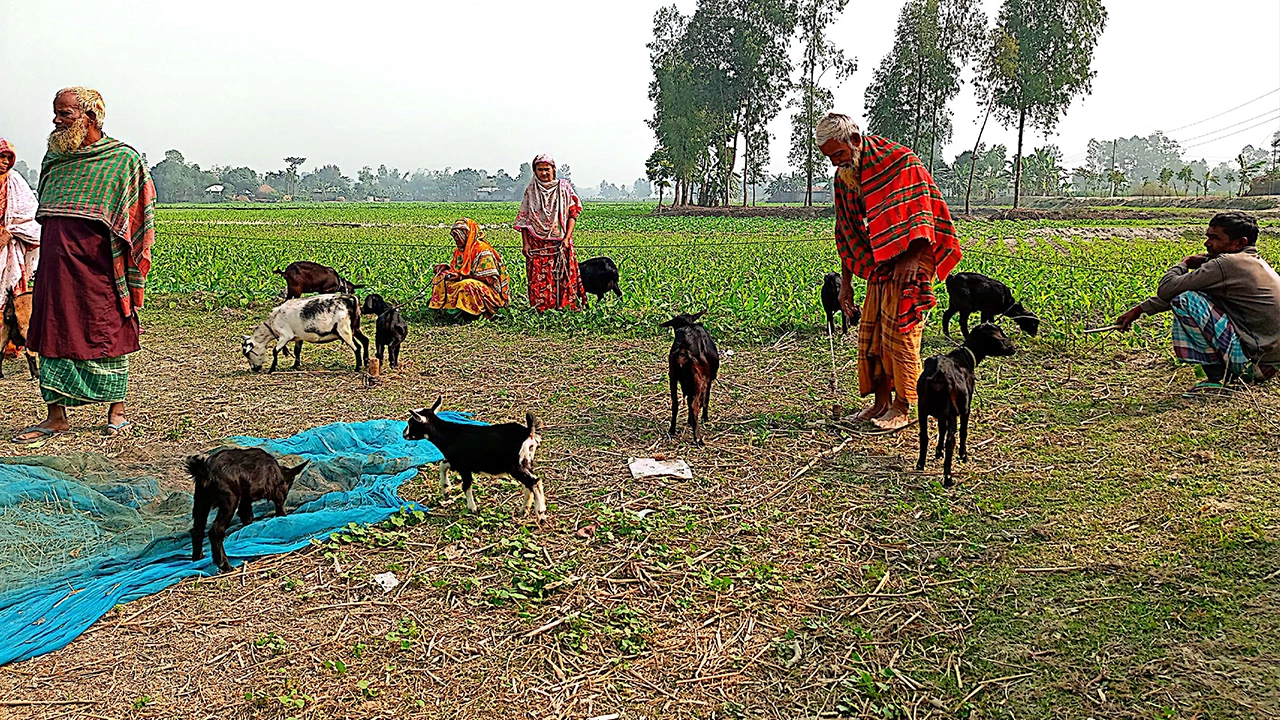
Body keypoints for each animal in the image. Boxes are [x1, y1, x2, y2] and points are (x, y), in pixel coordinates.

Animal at [399, 397, 540, 515]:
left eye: (411, 423)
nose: (403, 434)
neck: (448, 435)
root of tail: (528, 432)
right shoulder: (455, 461)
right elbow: (442, 465)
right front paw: (446, 488)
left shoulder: (464, 466)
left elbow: (466, 485)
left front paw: (472, 507)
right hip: (526, 462)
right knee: (531, 483)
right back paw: (524, 510)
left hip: (515, 465)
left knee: (534, 481)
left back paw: (540, 512)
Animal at [660, 310, 721, 443]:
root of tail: (683, 350)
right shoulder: (707, 380)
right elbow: (705, 399)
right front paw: (704, 418)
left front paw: (690, 422)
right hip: (699, 380)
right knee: (694, 405)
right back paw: (698, 438)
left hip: (673, 377)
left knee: (675, 404)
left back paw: (672, 430)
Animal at [916, 320, 1013, 484]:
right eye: (1000, 338)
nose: (1013, 348)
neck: (965, 357)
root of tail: (938, 376)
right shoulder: (965, 408)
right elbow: (964, 431)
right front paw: (963, 455)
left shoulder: (942, 413)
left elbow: (941, 428)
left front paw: (938, 452)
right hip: (952, 412)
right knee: (951, 440)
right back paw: (948, 478)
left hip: (922, 409)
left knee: (924, 435)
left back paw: (920, 465)